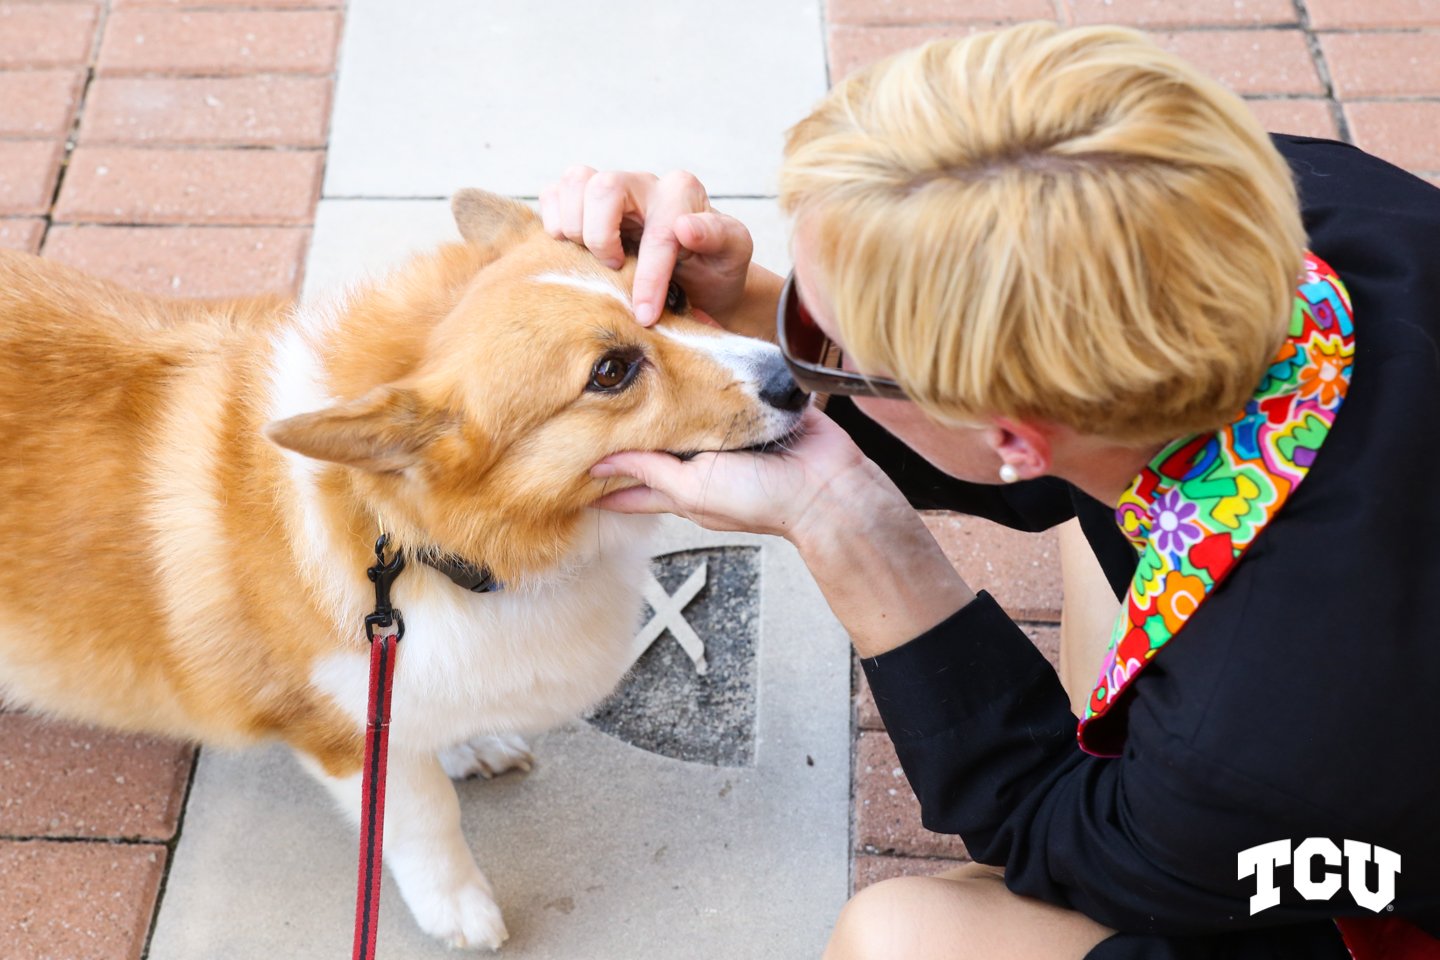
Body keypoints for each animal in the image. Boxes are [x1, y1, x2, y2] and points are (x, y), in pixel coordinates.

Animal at [0, 191, 812, 949]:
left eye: (671, 293)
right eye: (611, 372)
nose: (796, 381)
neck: (413, 536)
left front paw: (467, 744)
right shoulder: (339, 728)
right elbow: (420, 817)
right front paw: (459, 909)